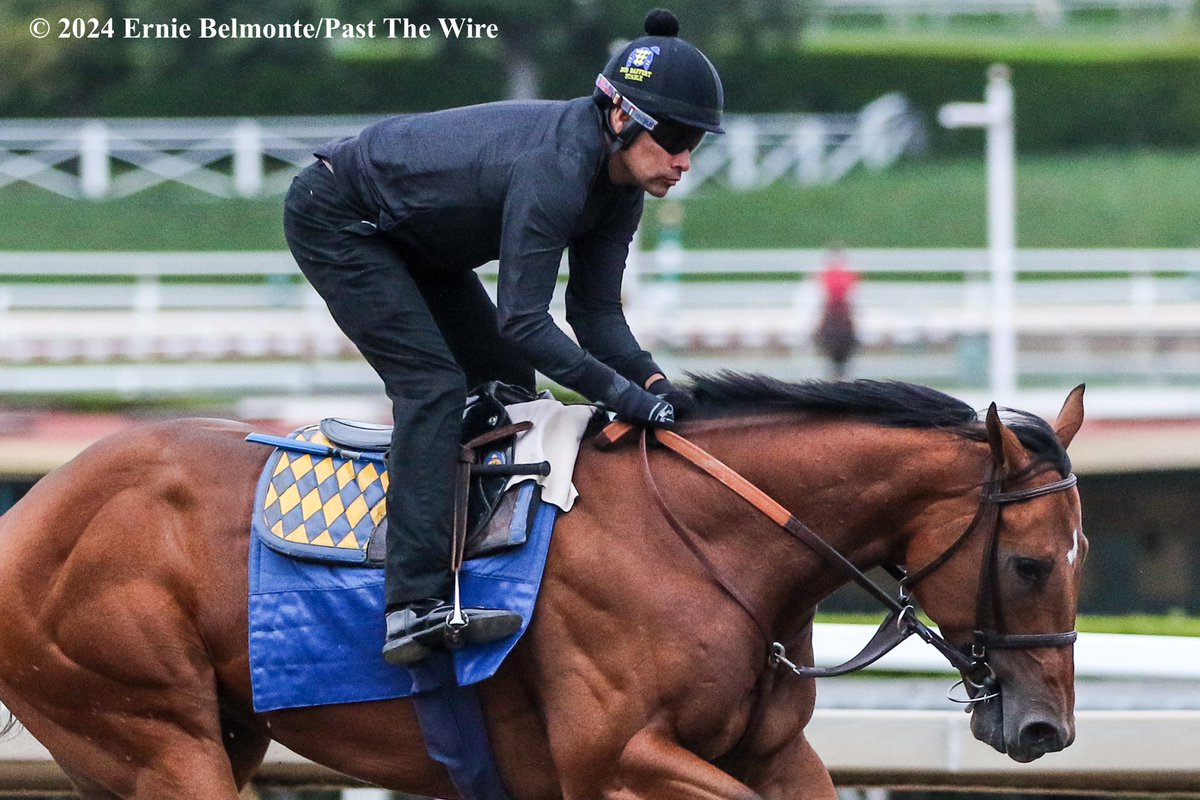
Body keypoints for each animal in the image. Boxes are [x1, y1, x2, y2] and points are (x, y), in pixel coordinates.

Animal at [0, 376, 1089, 800]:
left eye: (1083, 555)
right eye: (1031, 562)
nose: (1047, 729)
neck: (708, 541)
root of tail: (27, 512)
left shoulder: (773, 751)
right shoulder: (619, 758)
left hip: (175, 743)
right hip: (152, 729)